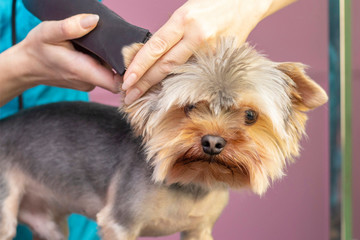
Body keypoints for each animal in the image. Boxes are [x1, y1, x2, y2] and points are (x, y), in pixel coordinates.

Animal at [0, 38, 326, 239]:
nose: (213, 142)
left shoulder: (199, 229)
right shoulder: (119, 223)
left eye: (250, 115)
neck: (191, 181)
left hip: (48, 224)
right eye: (190, 107)